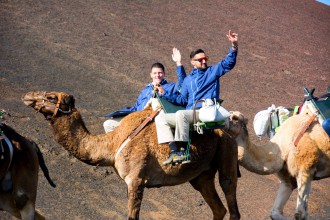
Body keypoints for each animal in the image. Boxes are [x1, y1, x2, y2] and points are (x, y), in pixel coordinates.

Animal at [22, 90, 240, 220]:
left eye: (51, 97)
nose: (28, 96)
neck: (113, 144)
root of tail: (227, 133)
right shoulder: (130, 182)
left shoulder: (136, 179)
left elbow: (132, 216)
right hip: (201, 176)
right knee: (218, 207)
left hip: (227, 155)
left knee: (230, 197)